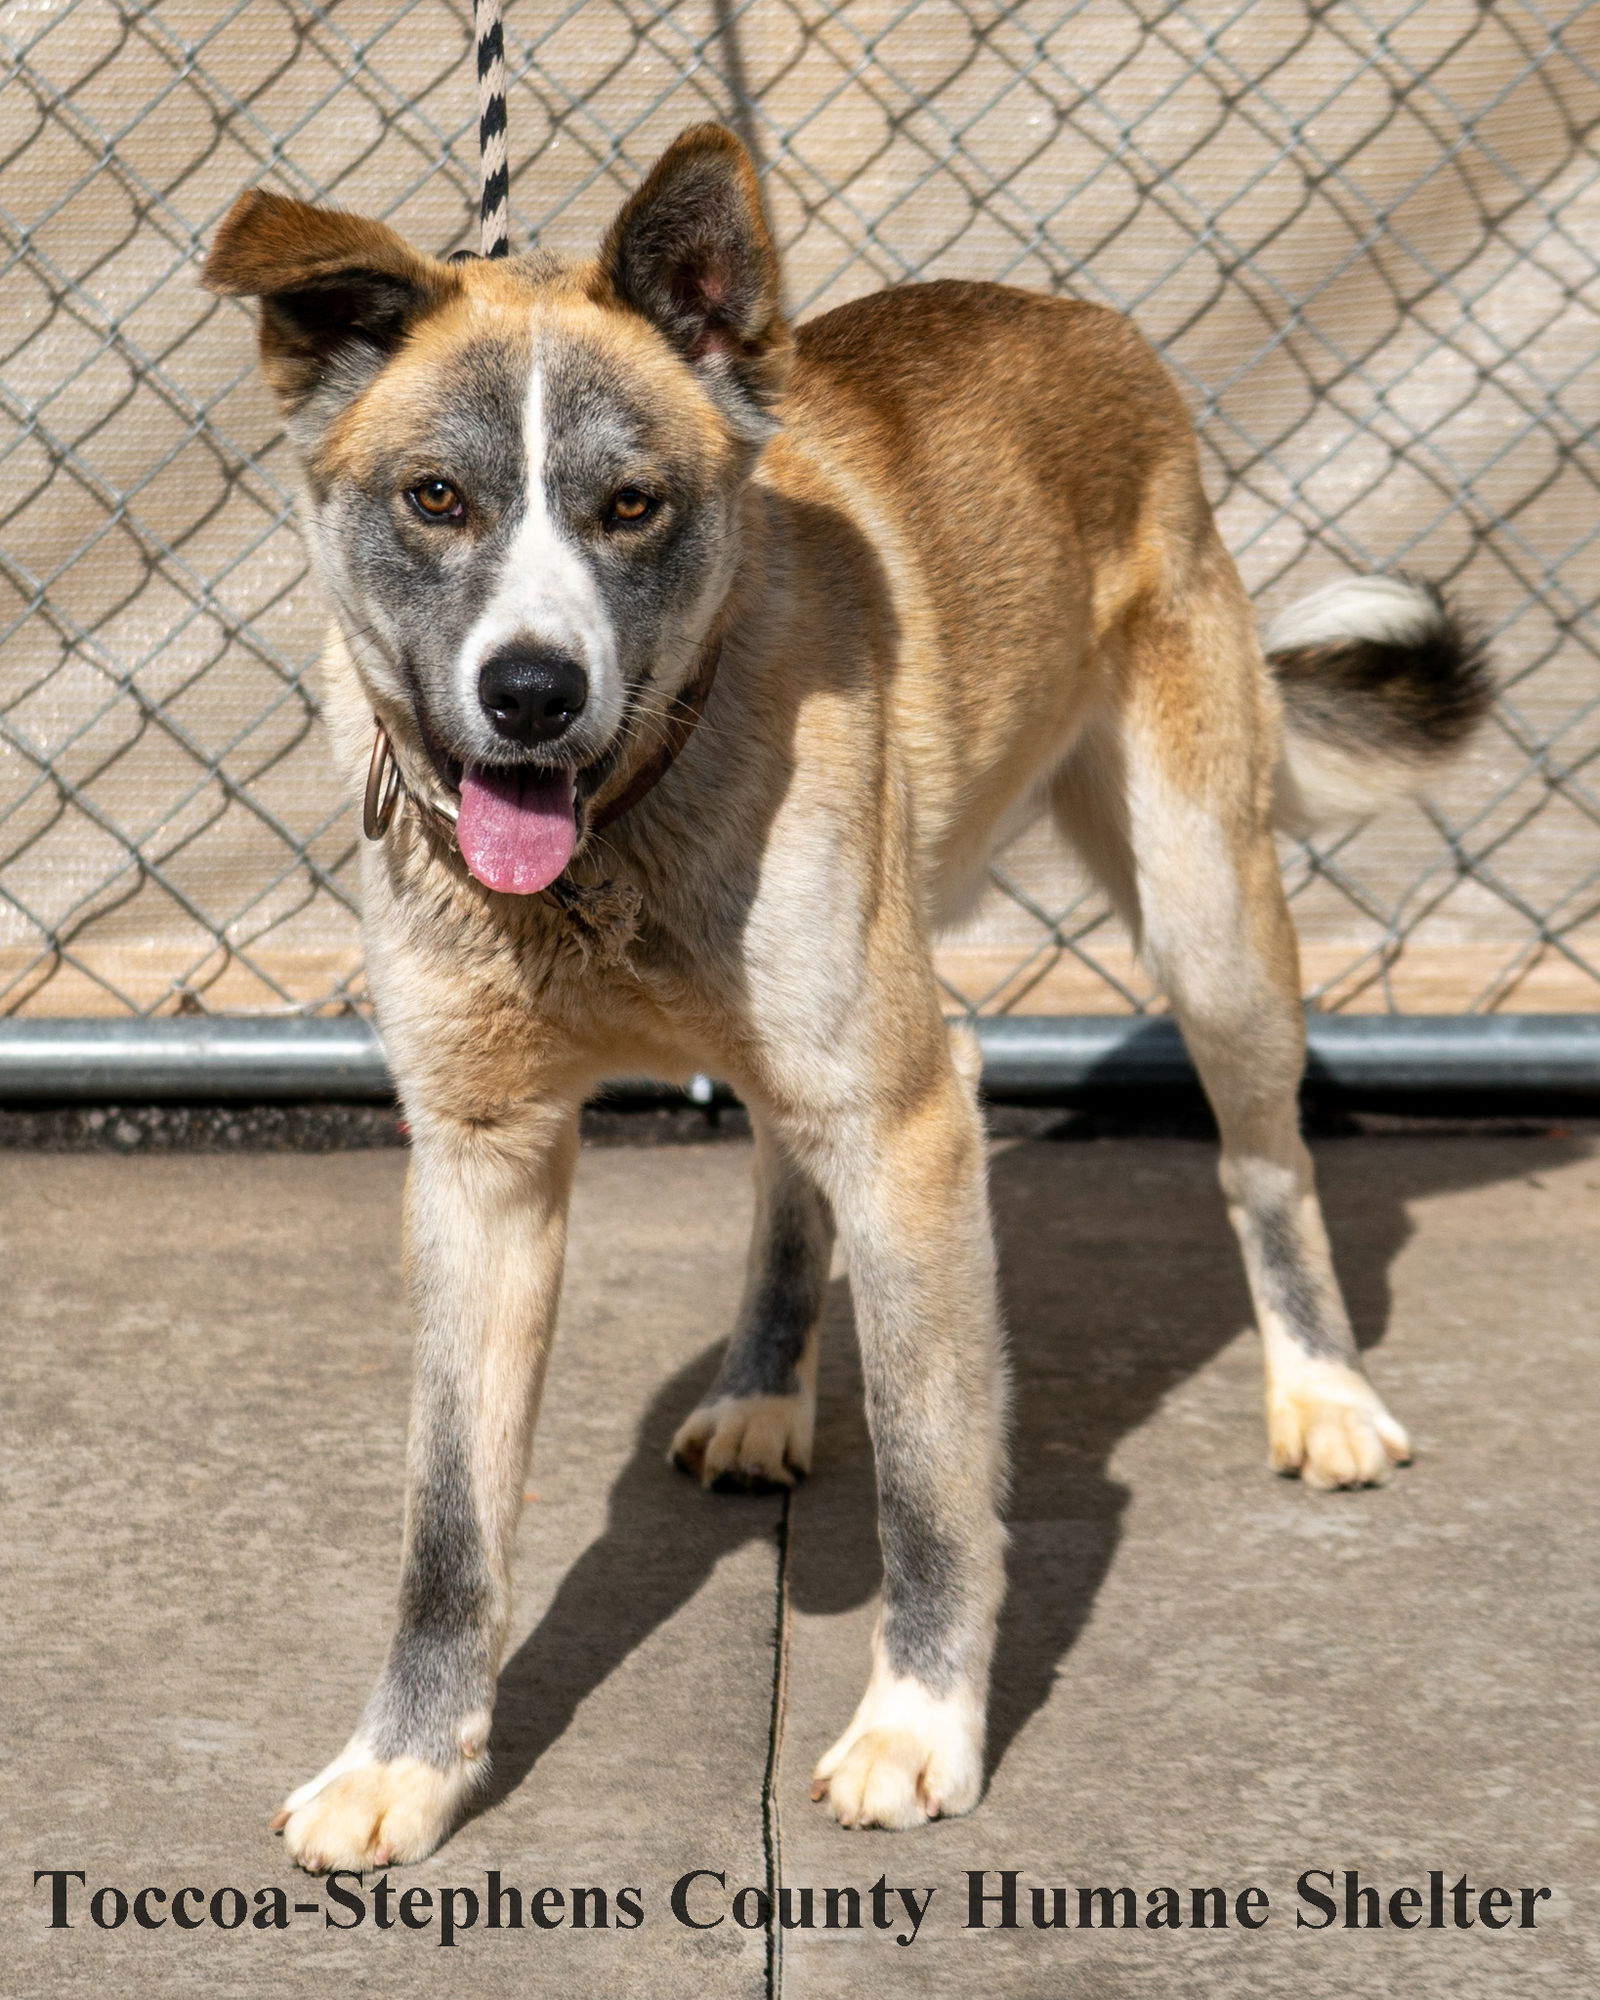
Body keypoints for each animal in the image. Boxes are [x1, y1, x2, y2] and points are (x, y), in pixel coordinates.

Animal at [200, 125, 1488, 1872]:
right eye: (437, 499)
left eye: (631, 506)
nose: (530, 694)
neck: (618, 842)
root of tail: (1073, 311)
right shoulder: (480, 1158)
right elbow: (449, 1528)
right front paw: (405, 1764)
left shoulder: (912, 1127)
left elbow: (936, 1484)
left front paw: (919, 1729)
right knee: (780, 1162)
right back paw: (760, 1387)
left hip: (1207, 917)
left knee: (1265, 1158)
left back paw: (1326, 1394)